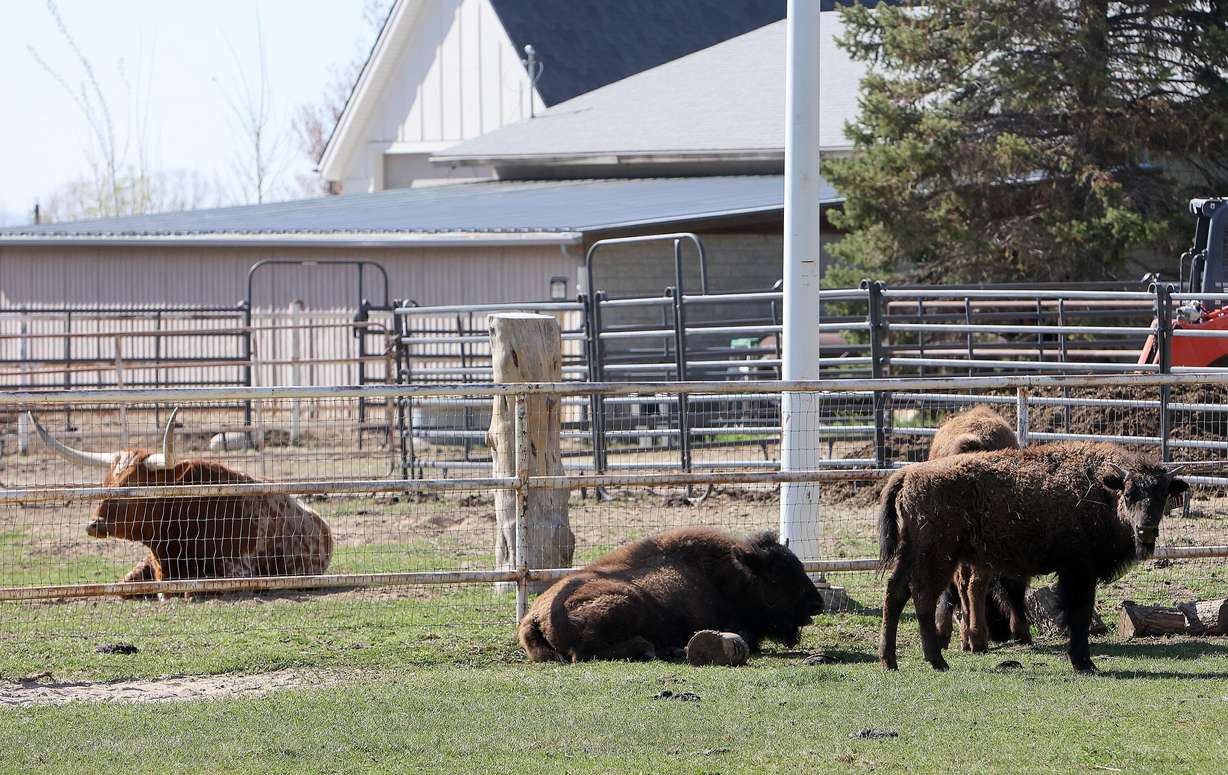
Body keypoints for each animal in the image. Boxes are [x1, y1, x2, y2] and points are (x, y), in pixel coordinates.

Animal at [519, 527, 823, 662]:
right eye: (775, 577)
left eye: (799, 566)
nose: (817, 604)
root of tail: (533, 616)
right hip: (624, 604)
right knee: (584, 653)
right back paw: (650, 648)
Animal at [876, 442, 1186, 673]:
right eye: (1130, 494)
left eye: (1162, 494)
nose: (1146, 529)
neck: (1105, 490)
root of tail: (908, 474)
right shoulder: (1079, 571)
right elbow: (1079, 613)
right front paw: (1084, 663)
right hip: (938, 556)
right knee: (922, 597)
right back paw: (937, 661)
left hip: (913, 554)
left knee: (896, 593)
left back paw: (891, 661)